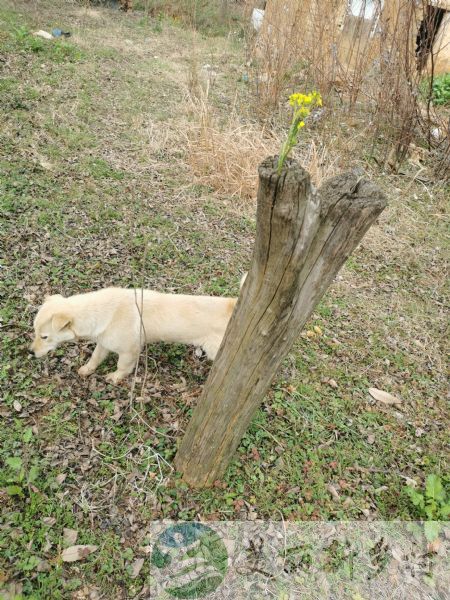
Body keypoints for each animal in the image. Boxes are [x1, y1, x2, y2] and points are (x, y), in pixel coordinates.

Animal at [30, 288, 237, 384]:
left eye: (44, 337)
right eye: (35, 332)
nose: (30, 353)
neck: (102, 313)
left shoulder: (129, 351)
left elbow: (122, 367)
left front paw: (115, 378)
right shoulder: (104, 343)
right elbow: (95, 358)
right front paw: (87, 369)